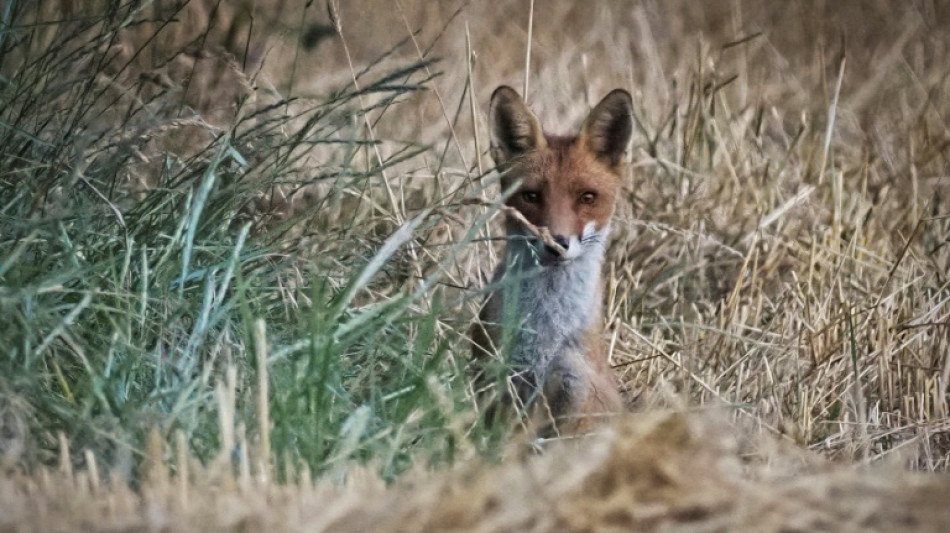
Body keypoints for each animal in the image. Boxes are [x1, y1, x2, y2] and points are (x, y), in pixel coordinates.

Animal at [474, 85, 636, 434]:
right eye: (531, 196)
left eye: (587, 197)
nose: (557, 244)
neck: (545, 334)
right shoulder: (501, 377)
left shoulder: (574, 386)